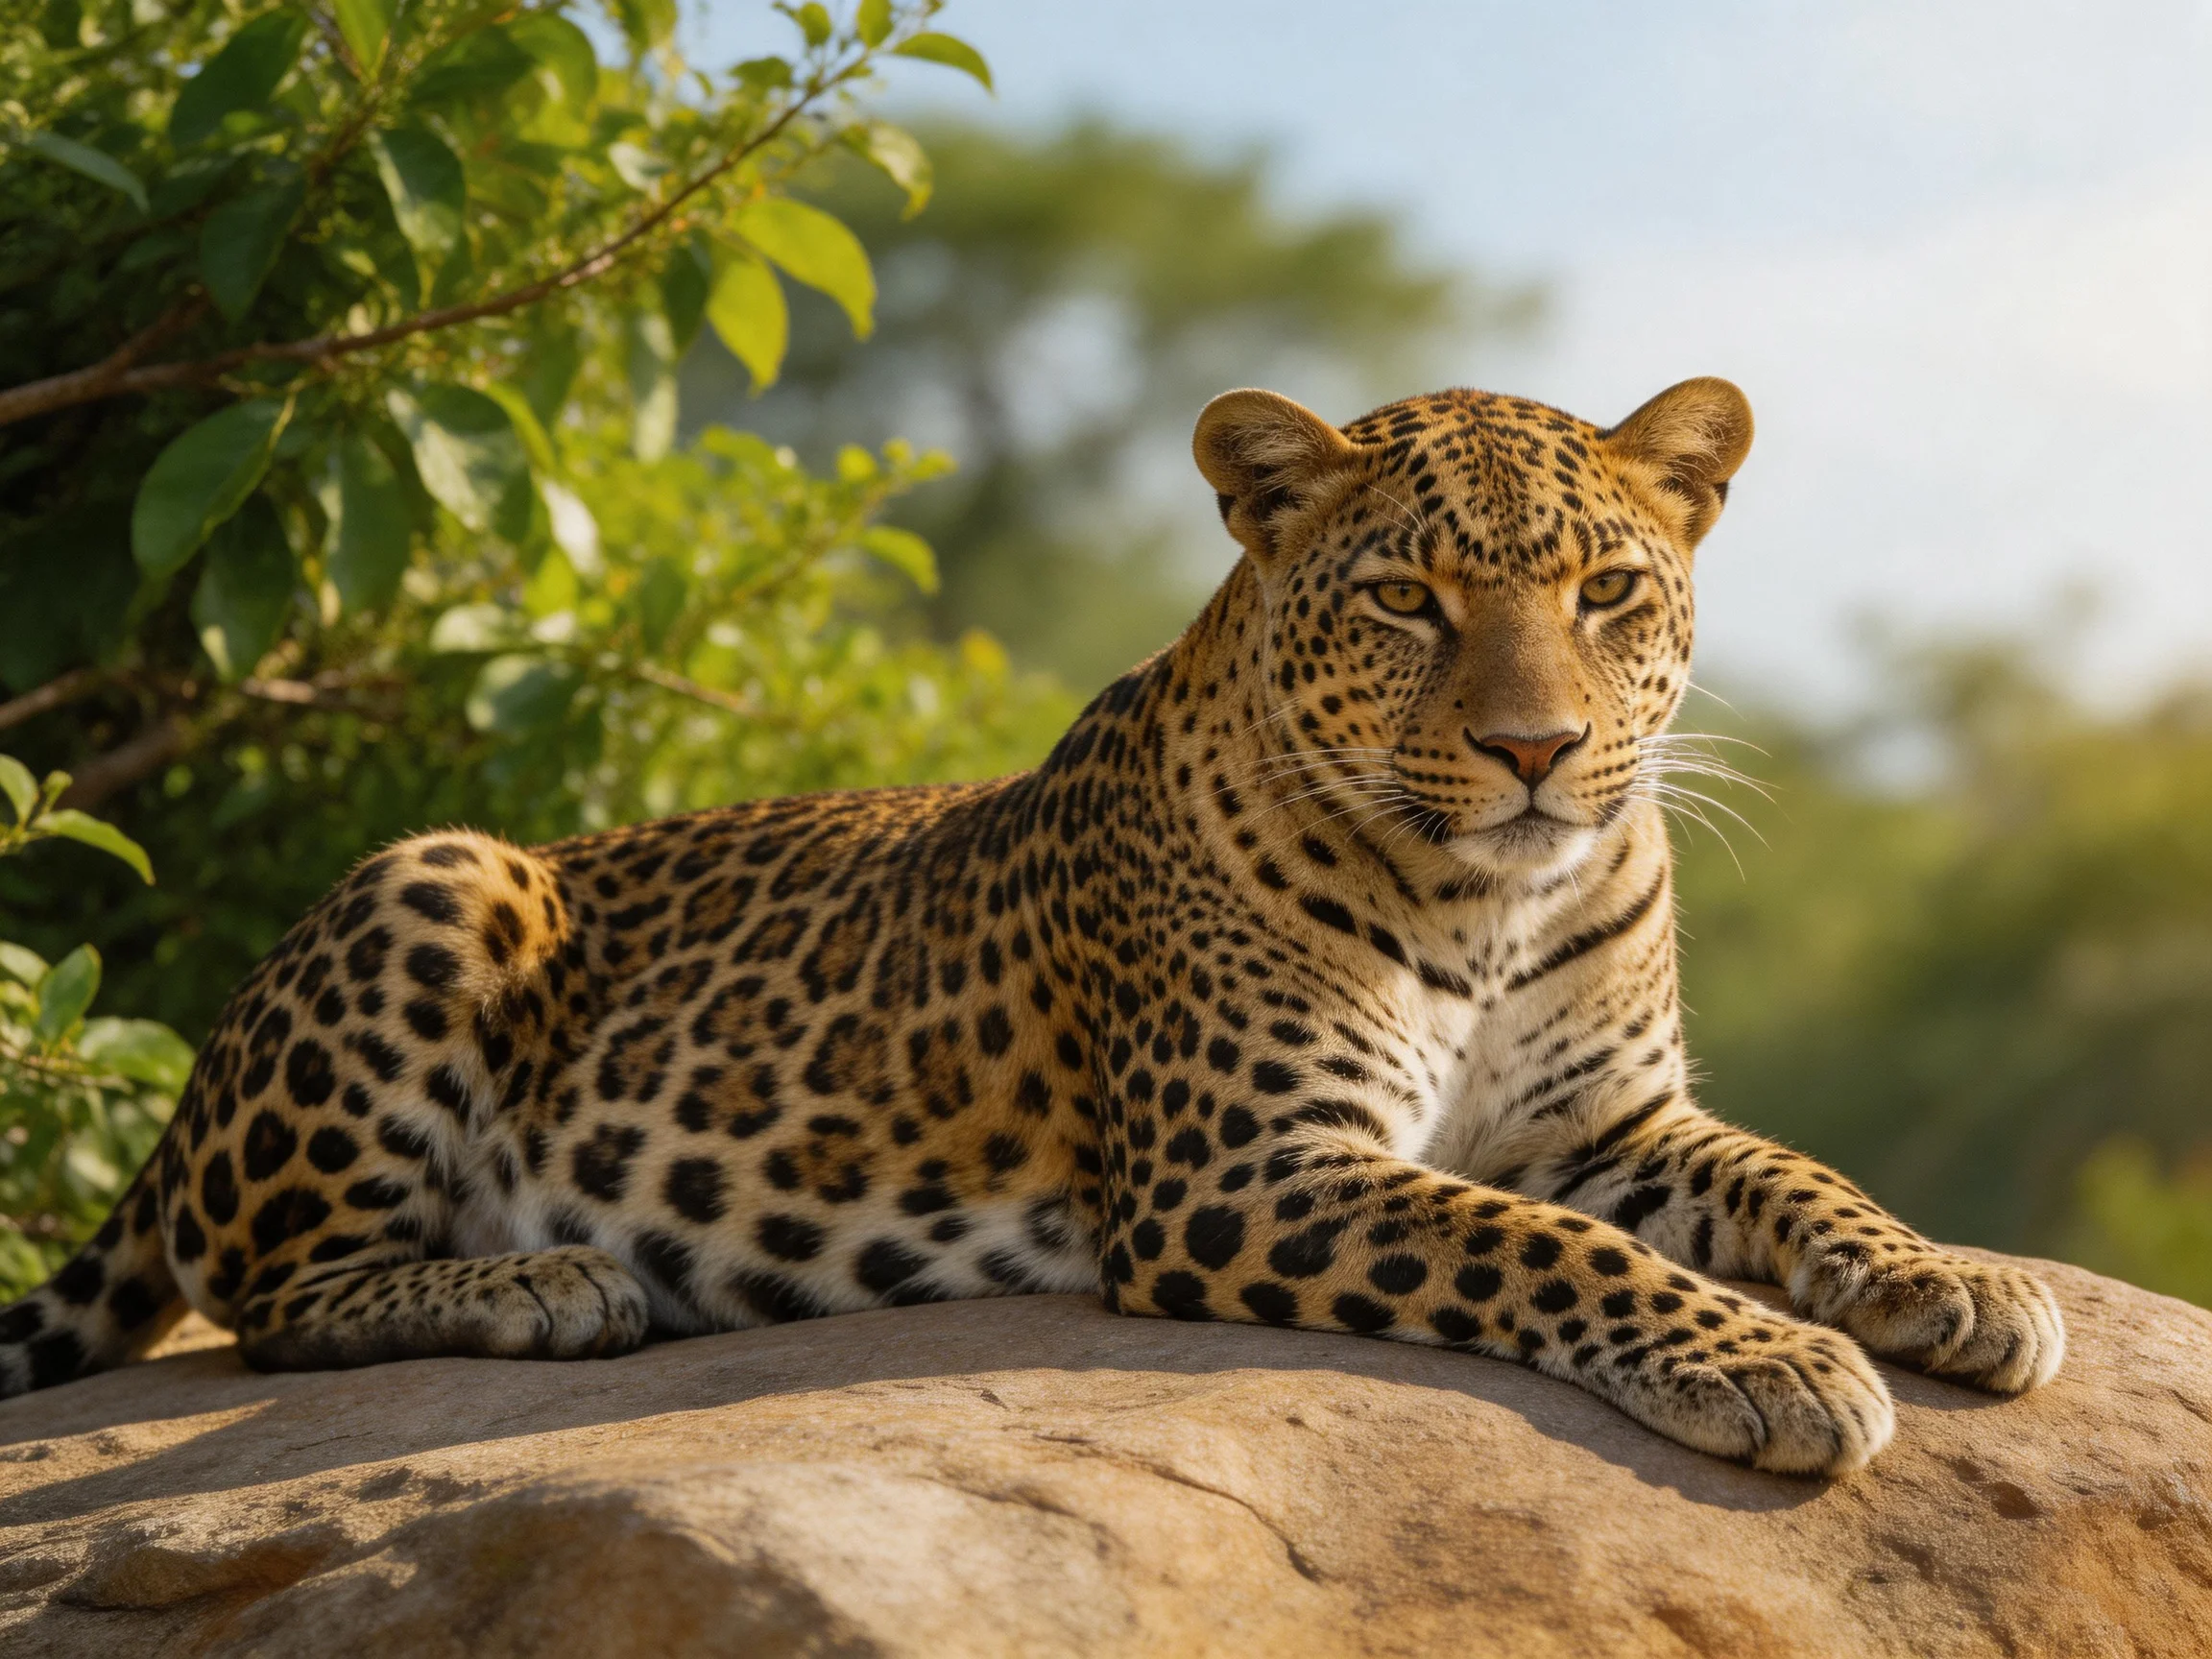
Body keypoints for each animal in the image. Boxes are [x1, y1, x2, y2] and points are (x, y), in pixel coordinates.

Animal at [0, 376, 2064, 1475]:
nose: (1535, 748)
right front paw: (1774, 1365)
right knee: (267, 1297)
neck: (1491, 898)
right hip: (434, 877)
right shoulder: (1247, 1169)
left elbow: (1790, 1173)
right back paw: (549, 1281)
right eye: (1403, 597)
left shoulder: (1610, 1120)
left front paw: (1947, 1279)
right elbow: (1540, 1247)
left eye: (1608, 589)